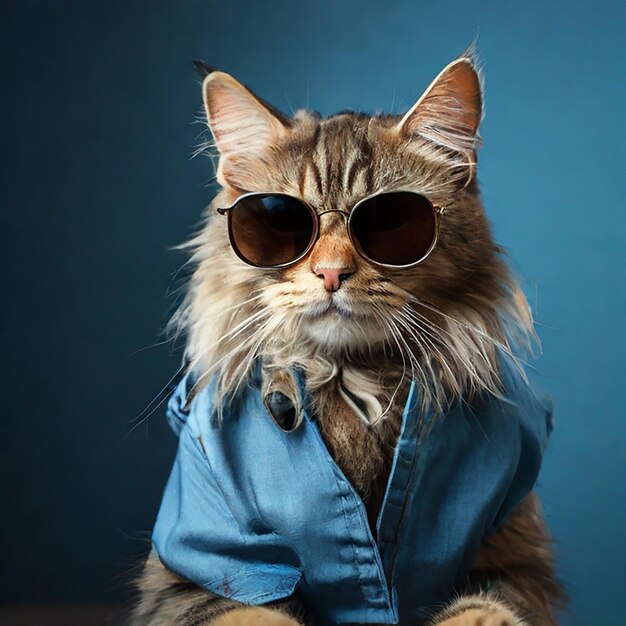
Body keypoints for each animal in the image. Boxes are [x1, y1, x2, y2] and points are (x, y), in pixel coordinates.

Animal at [130, 50, 560, 624]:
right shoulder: (201, 563)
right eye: (281, 222)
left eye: (391, 221)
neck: (352, 380)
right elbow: (248, 612)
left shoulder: (511, 547)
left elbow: (487, 607)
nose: (331, 273)